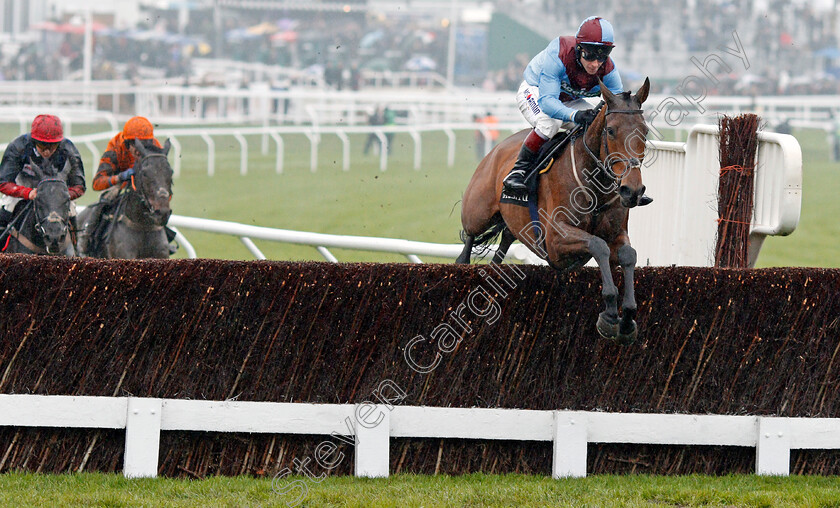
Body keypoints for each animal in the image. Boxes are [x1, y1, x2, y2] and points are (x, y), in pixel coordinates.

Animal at [460, 77, 648, 346]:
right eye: (611, 130)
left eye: (645, 131)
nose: (632, 190)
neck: (596, 186)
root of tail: (497, 149)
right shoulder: (556, 240)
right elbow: (598, 245)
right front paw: (610, 313)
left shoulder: (616, 233)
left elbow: (628, 255)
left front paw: (628, 318)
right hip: (477, 212)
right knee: (469, 238)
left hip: (512, 223)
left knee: (504, 240)